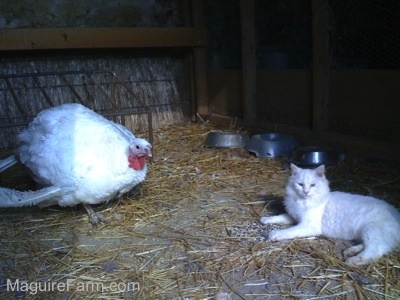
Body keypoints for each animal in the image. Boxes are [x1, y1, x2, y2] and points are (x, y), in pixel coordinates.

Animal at [260, 164, 400, 264]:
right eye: (300, 184)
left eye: (312, 185)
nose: (305, 192)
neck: (303, 201)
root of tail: (396, 213)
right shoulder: (294, 217)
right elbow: (281, 216)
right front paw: (265, 219)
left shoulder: (308, 225)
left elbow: (289, 231)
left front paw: (274, 234)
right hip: (366, 233)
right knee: (368, 245)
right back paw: (350, 251)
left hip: (371, 231)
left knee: (376, 250)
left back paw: (353, 260)